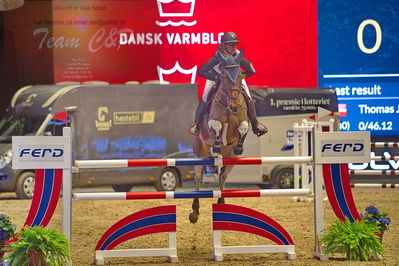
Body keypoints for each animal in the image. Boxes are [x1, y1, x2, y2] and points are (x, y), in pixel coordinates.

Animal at [191, 48, 250, 223]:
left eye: (241, 75)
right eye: (223, 76)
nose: (235, 104)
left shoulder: (241, 123)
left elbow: (243, 128)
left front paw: (238, 147)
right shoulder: (212, 123)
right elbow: (217, 126)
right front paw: (216, 145)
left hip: (232, 161)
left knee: (223, 176)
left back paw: (221, 202)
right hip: (199, 152)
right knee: (198, 177)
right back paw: (194, 212)